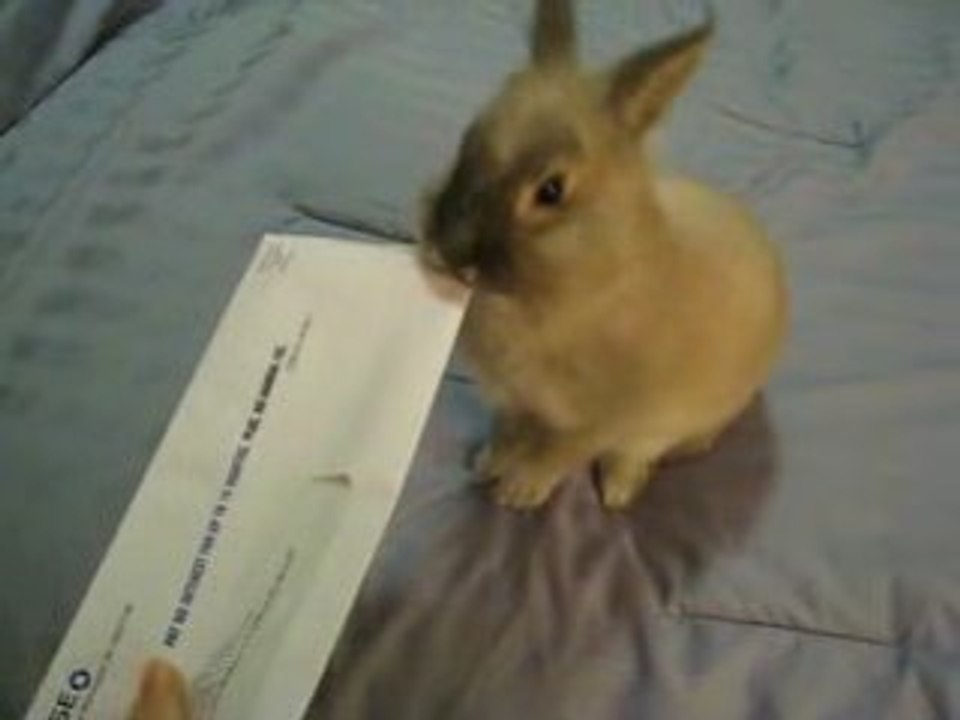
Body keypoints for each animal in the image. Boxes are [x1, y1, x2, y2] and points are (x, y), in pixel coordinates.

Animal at [419, 0, 788, 510]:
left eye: (551, 190)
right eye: (469, 137)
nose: (448, 251)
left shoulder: (602, 420)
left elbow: (556, 454)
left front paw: (519, 492)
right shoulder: (511, 399)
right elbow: (510, 432)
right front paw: (488, 463)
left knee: (640, 453)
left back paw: (617, 493)